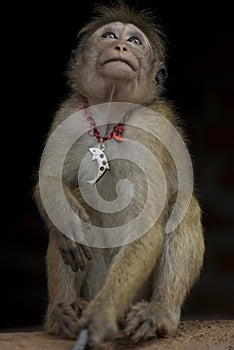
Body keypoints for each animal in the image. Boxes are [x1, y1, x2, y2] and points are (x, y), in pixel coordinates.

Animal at [33, 1, 205, 348]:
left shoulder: (150, 129)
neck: (108, 121)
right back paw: (61, 313)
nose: (121, 47)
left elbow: (145, 225)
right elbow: (48, 185)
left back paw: (160, 313)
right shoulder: (69, 114)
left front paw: (101, 316)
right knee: (69, 217)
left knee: (183, 204)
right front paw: (69, 217)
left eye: (135, 41)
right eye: (110, 35)